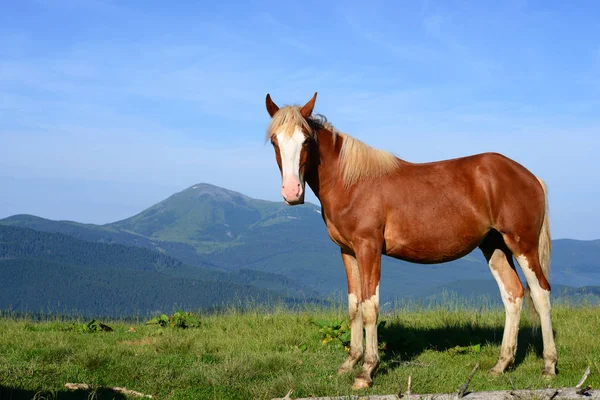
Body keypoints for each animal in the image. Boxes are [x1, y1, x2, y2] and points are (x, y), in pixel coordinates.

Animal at [264, 93, 556, 388]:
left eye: (306, 140)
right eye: (275, 141)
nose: (292, 192)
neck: (351, 182)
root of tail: (531, 176)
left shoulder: (368, 248)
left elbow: (370, 307)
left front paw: (367, 371)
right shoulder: (347, 251)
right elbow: (354, 306)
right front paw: (349, 363)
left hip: (522, 244)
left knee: (540, 293)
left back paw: (549, 366)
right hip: (494, 246)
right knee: (513, 295)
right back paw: (501, 365)